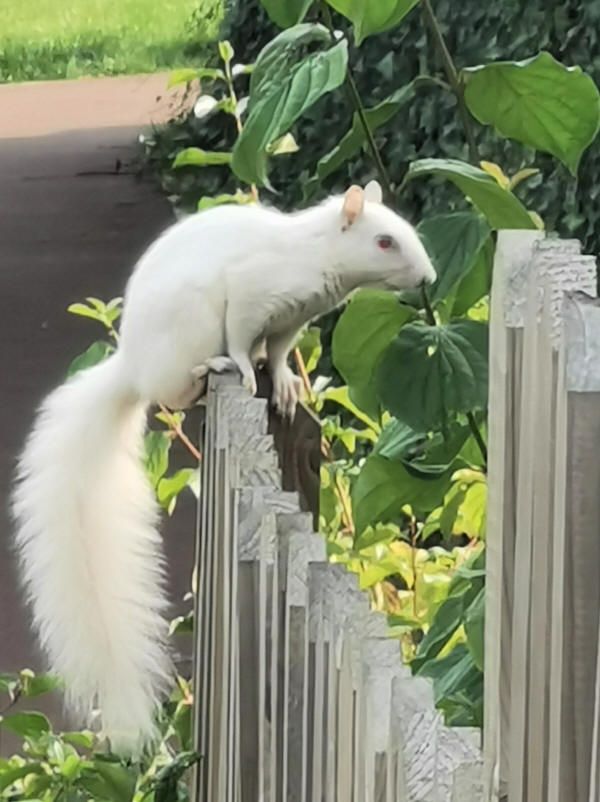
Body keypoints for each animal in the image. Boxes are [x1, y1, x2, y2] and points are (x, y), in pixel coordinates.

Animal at [12, 180, 436, 752]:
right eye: (385, 241)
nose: (428, 278)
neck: (314, 256)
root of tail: (133, 369)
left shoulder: (288, 323)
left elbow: (276, 353)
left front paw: (283, 383)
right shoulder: (253, 296)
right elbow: (239, 338)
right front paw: (244, 370)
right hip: (190, 328)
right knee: (175, 389)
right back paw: (207, 370)